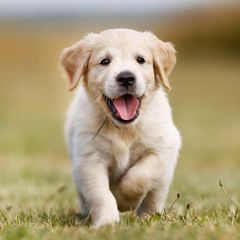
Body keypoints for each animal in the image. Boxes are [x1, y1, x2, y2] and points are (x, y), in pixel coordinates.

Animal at [60, 28, 182, 227]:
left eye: (140, 60)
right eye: (105, 61)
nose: (126, 78)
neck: (124, 128)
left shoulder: (162, 147)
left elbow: (140, 176)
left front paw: (125, 201)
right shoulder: (89, 159)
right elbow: (101, 194)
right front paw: (107, 222)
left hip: (164, 178)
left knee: (154, 196)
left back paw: (148, 216)